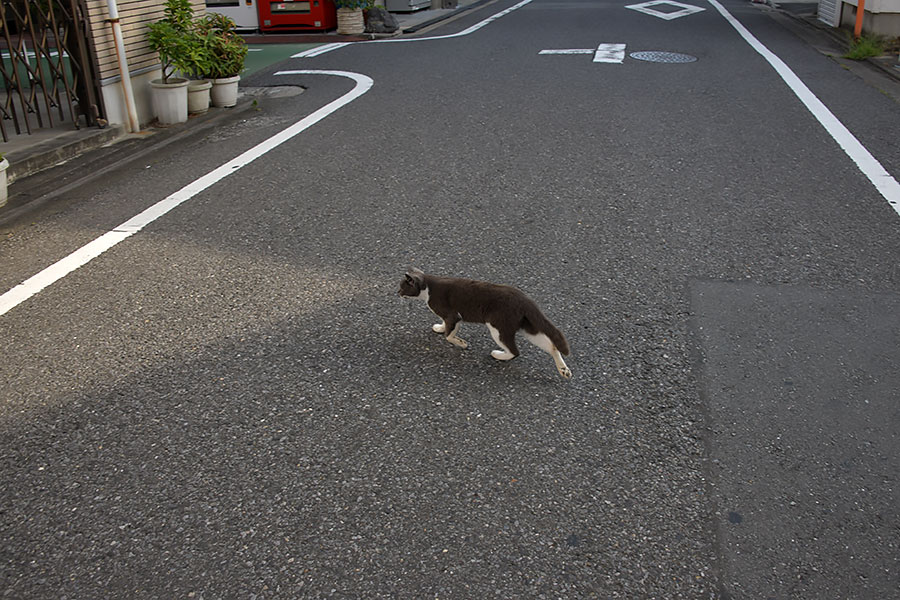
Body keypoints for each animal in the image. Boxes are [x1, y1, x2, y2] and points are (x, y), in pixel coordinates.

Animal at [400, 268, 572, 378]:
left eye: (402, 288)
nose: (397, 293)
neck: (428, 288)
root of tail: (527, 300)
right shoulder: (452, 318)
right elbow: (447, 328)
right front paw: (440, 328)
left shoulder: (453, 314)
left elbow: (449, 334)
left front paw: (461, 343)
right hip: (527, 327)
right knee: (551, 345)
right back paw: (564, 370)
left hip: (498, 326)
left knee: (515, 351)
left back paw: (498, 354)